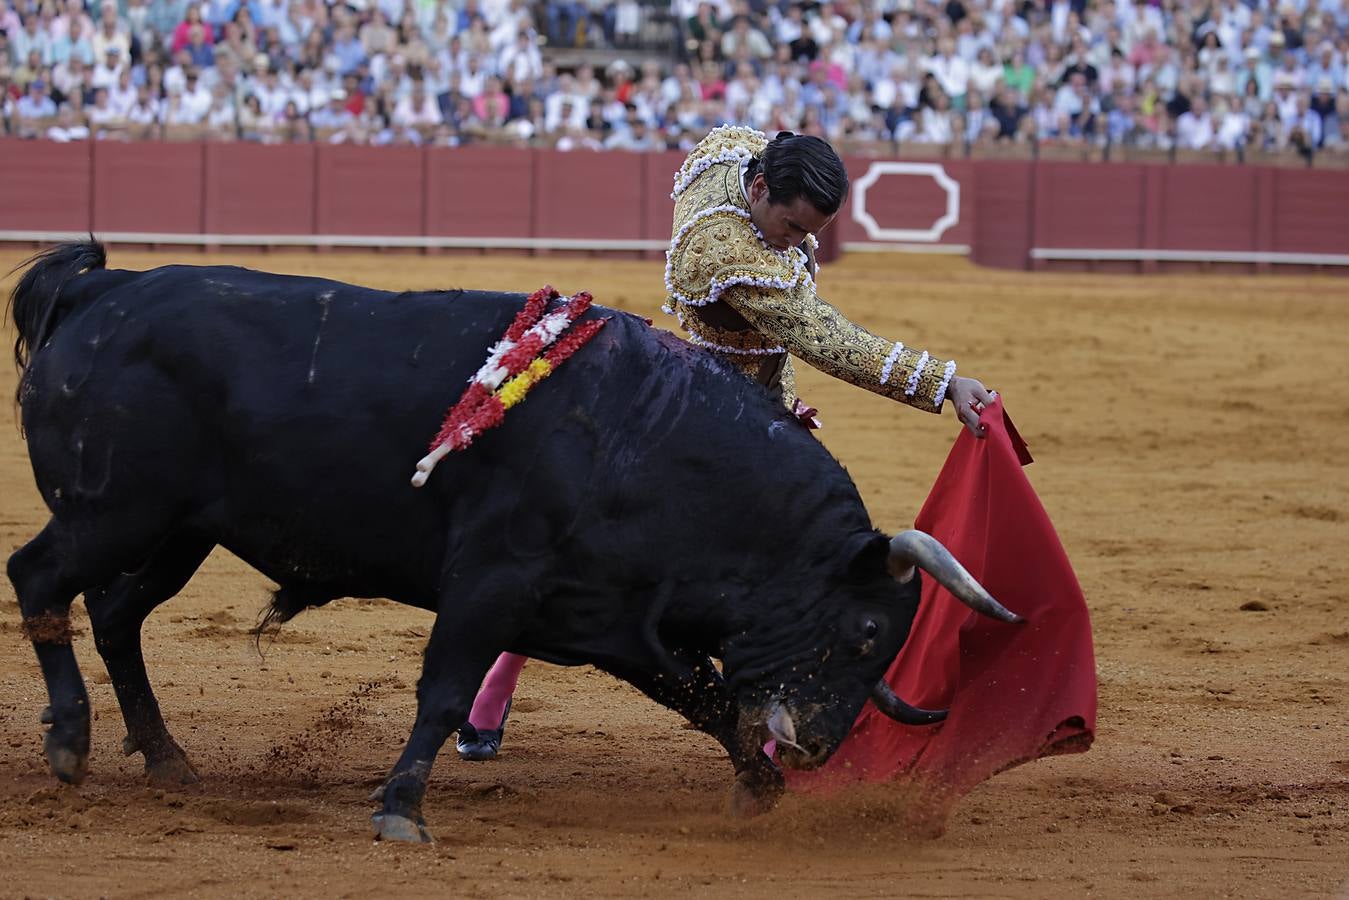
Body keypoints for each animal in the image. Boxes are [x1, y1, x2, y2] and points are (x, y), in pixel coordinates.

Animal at [5, 241, 1014, 847]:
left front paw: (757, 798)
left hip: (177, 533)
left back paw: (167, 760)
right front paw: (400, 810)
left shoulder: (614, 618)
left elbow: (707, 701)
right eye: (865, 634)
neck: (652, 439)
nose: (812, 750)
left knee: (115, 614)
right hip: (113, 513)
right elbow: (445, 692)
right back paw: (70, 745)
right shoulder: (491, 582)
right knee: (38, 577)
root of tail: (100, 290)